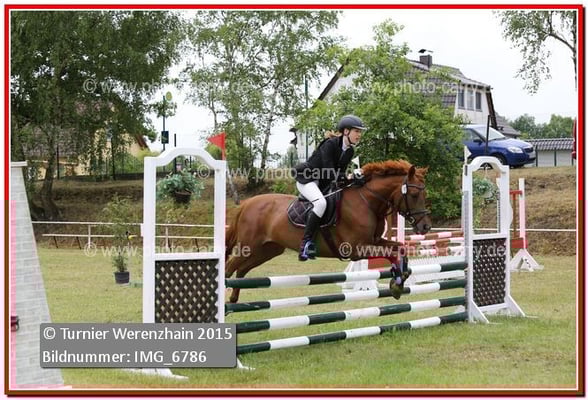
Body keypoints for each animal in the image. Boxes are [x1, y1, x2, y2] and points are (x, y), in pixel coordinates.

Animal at [225, 160, 431, 303]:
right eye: (414, 195)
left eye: (425, 194)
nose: (425, 227)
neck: (367, 201)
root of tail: (247, 204)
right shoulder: (355, 249)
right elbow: (392, 252)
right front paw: (397, 282)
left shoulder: (374, 241)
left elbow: (400, 248)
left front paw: (399, 280)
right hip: (250, 246)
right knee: (229, 267)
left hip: (267, 250)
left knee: (241, 270)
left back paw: (233, 300)